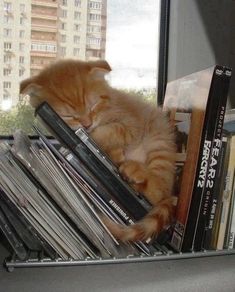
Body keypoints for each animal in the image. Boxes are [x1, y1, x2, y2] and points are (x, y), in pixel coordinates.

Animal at [20, 59, 176, 242]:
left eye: (92, 106)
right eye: (69, 117)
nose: (87, 124)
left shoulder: (132, 124)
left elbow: (112, 131)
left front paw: (90, 137)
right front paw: (113, 153)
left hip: (160, 143)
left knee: (159, 190)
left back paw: (136, 171)